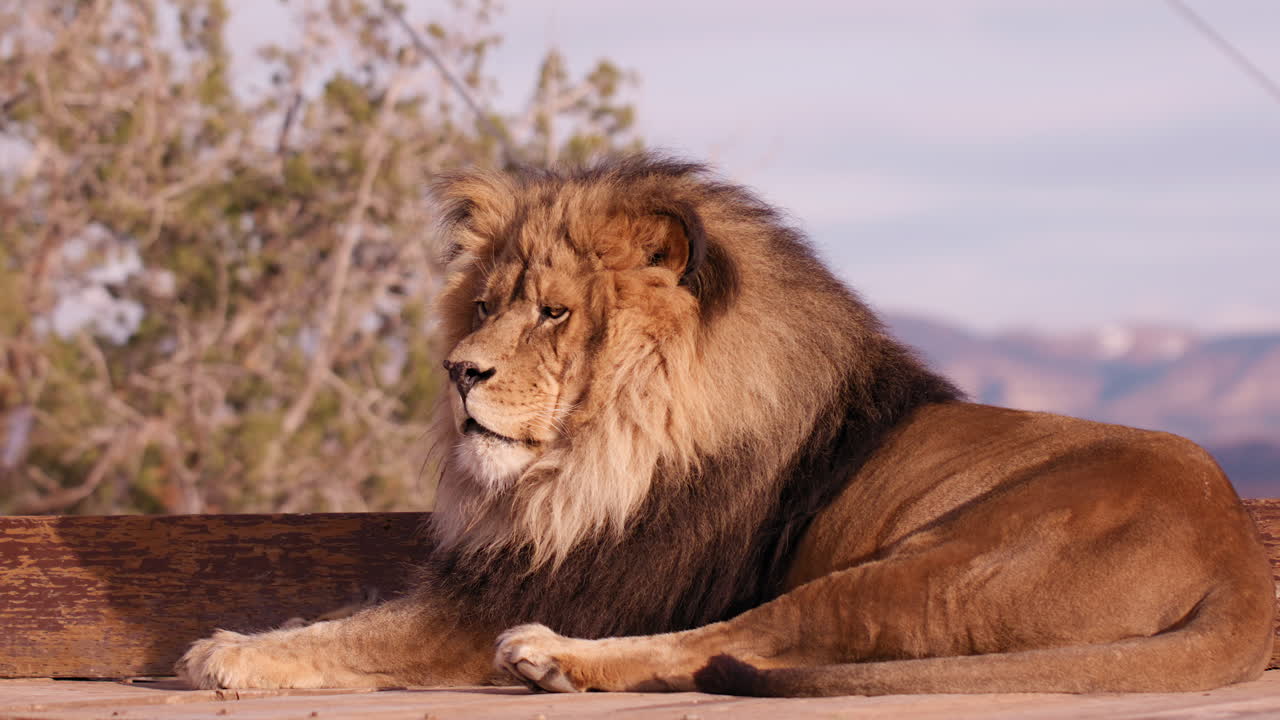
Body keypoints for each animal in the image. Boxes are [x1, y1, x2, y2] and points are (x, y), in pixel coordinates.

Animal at [177, 153, 1274, 696]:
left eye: (554, 312)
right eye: (484, 305)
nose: (458, 373)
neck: (594, 459)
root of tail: (1239, 561)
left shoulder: (563, 590)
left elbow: (375, 635)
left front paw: (231, 652)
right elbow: (352, 615)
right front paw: (257, 635)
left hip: (935, 563)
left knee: (737, 642)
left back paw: (551, 660)